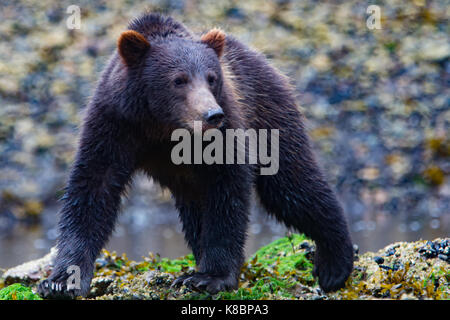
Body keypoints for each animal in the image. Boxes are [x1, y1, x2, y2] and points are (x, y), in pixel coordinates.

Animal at [37, 12, 356, 298]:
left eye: (212, 78)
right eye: (179, 80)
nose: (212, 114)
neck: (163, 127)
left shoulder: (227, 130)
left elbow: (227, 191)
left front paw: (211, 277)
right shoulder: (115, 124)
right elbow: (92, 190)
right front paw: (61, 281)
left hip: (269, 116)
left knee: (292, 186)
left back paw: (334, 264)